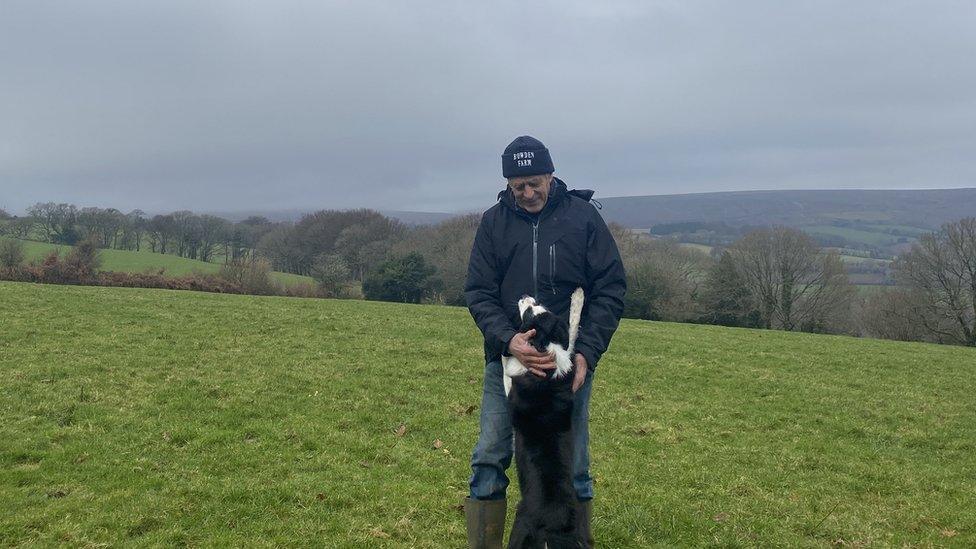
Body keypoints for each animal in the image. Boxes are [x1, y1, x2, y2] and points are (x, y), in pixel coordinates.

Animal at [504, 286, 580, 548]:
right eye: (537, 305)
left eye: (528, 312)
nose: (525, 296)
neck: (547, 346)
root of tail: (555, 524)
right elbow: (572, 331)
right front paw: (578, 298)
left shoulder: (513, 381)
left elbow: (507, 366)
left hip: (520, 528)